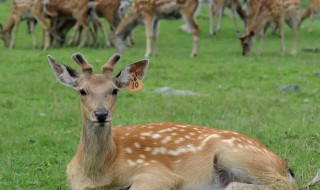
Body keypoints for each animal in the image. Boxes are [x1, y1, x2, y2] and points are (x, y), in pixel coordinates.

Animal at [47, 52, 320, 190]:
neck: (99, 174)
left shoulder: (157, 173)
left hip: (237, 154)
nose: (102, 114)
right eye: (82, 91)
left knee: (280, 186)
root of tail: (286, 166)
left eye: (114, 90)